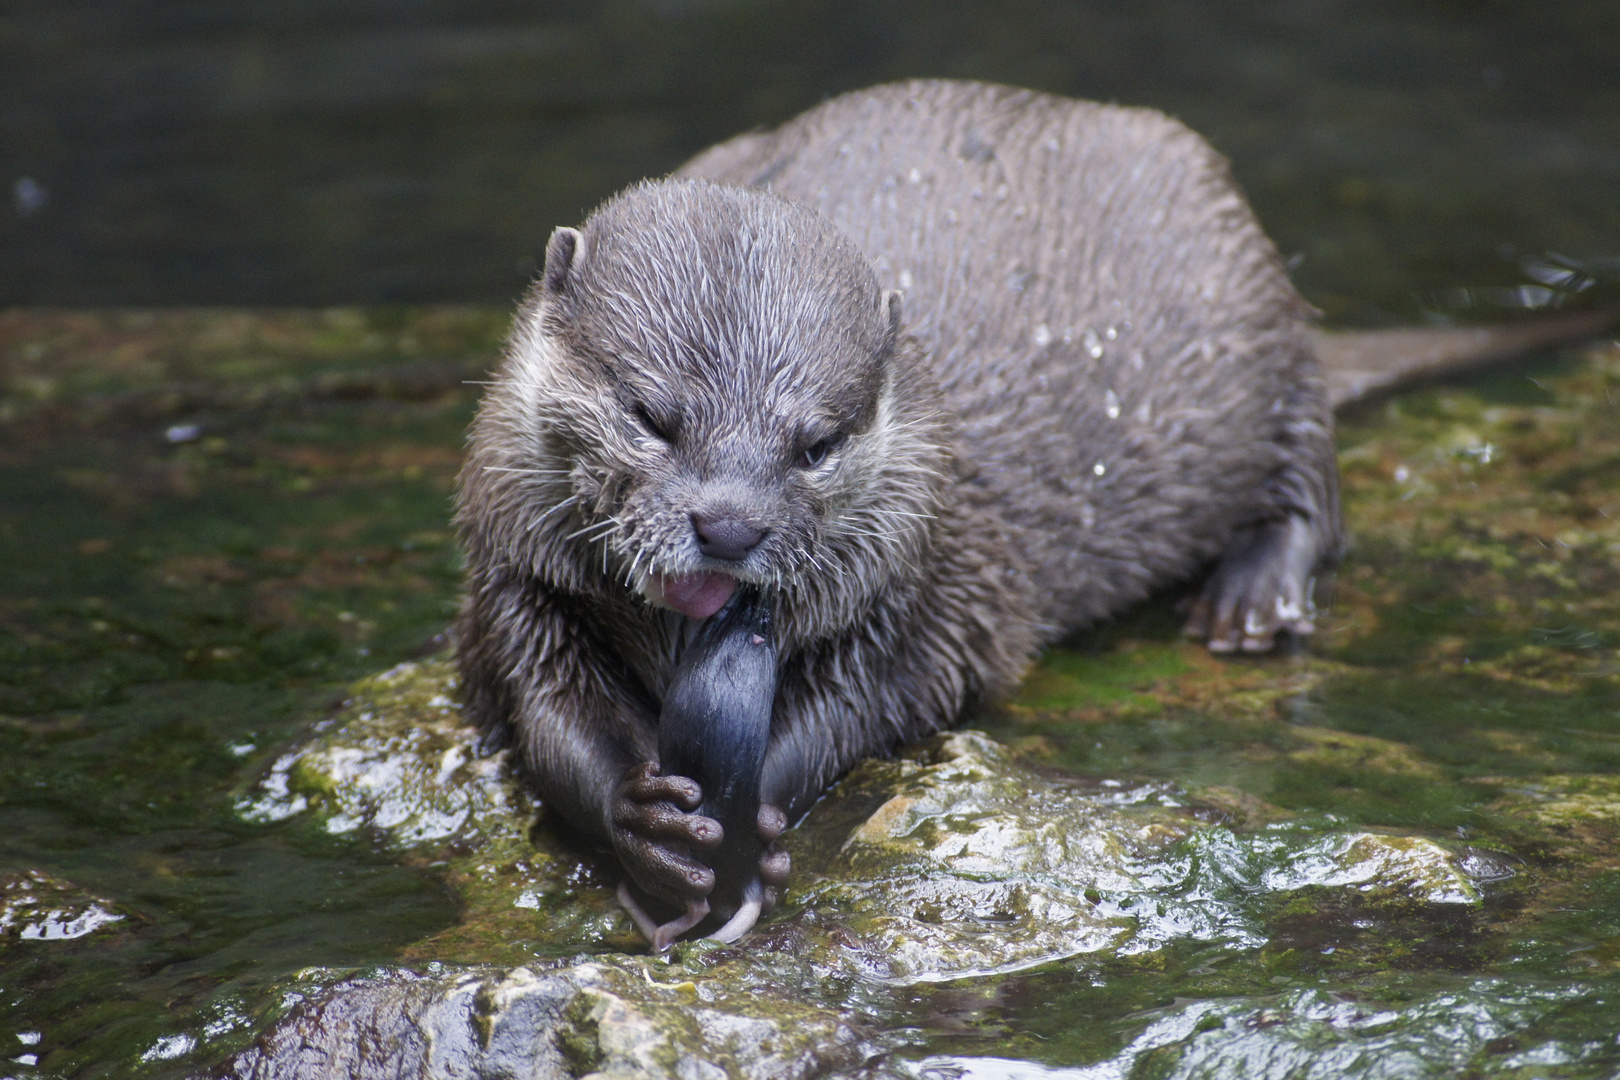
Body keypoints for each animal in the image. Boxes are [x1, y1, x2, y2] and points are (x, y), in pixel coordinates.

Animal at [460, 82, 1594, 945]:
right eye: (651, 416)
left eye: (817, 442)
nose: (730, 528)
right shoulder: (514, 573)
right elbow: (542, 709)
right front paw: (642, 822)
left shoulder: (935, 583)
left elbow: (881, 699)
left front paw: (759, 820)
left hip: (1261, 330)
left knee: (1312, 480)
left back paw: (1251, 599)